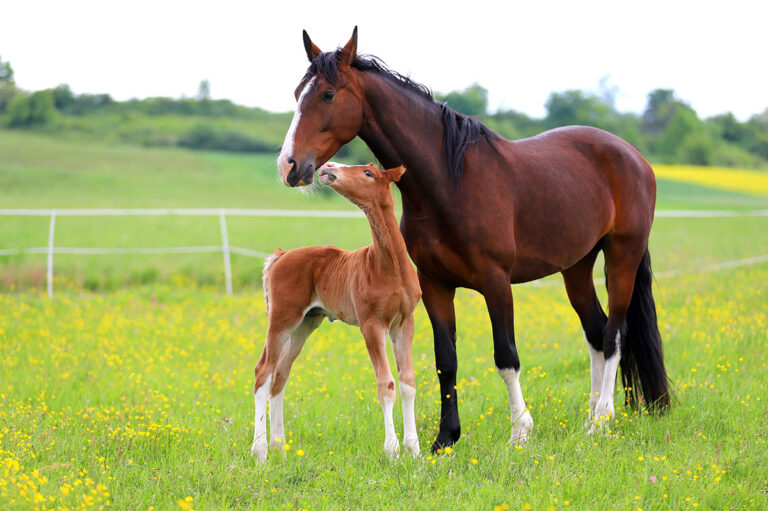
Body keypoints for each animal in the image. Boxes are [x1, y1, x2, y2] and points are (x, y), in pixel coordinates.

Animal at [251, 162, 422, 461]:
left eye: (368, 172)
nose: (329, 167)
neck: (390, 265)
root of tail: (281, 256)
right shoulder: (372, 324)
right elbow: (386, 384)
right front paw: (392, 449)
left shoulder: (403, 323)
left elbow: (407, 382)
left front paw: (414, 449)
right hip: (282, 319)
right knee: (264, 371)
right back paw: (260, 452)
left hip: (305, 324)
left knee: (280, 376)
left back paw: (279, 446)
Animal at [275, 27, 670, 452]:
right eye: (296, 93)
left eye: (328, 94)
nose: (289, 166)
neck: (450, 182)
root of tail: (634, 156)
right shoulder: (435, 285)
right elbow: (445, 359)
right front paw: (445, 439)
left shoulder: (496, 283)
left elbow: (506, 356)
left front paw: (520, 432)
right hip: (576, 267)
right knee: (596, 332)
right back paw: (589, 418)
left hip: (622, 256)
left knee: (614, 335)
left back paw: (602, 420)